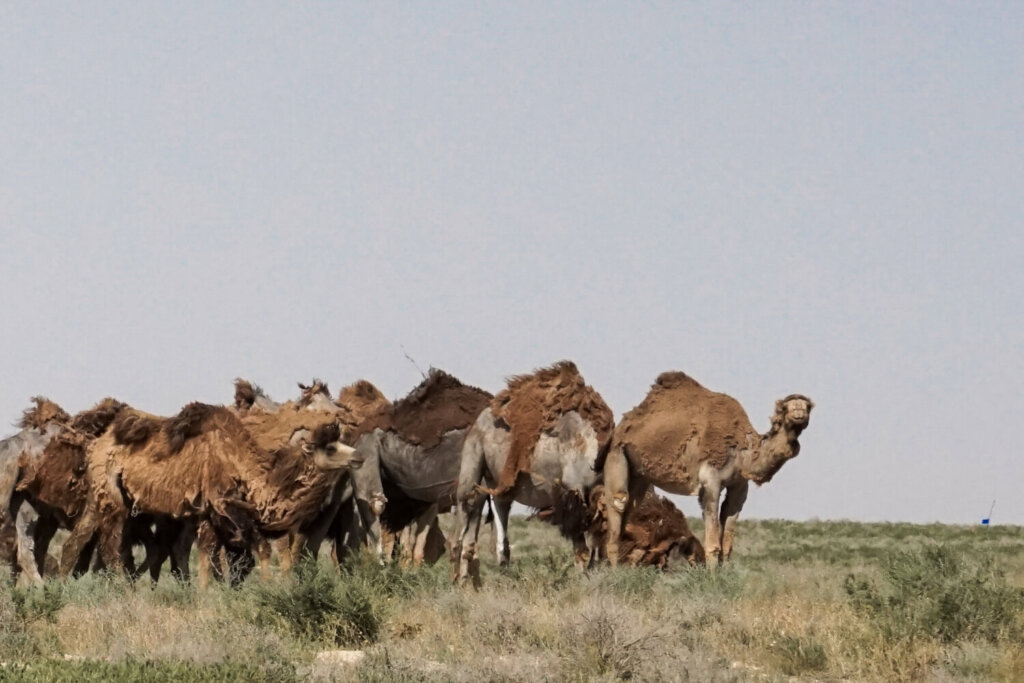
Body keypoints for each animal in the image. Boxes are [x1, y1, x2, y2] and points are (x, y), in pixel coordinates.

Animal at [60, 402, 362, 587]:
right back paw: (123, 589)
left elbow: (207, 553)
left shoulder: (207, 511)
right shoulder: (222, 502)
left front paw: (204, 593)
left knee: (76, 541)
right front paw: (268, 590)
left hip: (99, 495)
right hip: (113, 498)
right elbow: (259, 548)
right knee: (110, 548)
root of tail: (98, 443)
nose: (358, 457)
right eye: (331, 448)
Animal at [454, 361, 613, 586]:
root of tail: (479, 420)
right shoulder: (573, 492)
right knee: (464, 517)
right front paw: (583, 580)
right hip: (472, 460)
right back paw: (461, 581)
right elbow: (581, 548)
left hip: (496, 482)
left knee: (494, 529)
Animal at [602, 371, 813, 566]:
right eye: (785, 407)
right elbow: (713, 543)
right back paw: (615, 570)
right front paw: (712, 578)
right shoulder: (711, 480)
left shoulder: (739, 485)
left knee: (631, 508)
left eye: (808, 407)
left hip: (640, 475)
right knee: (618, 502)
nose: (799, 412)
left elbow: (727, 538)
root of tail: (623, 425)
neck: (743, 452)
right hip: (617, 453)